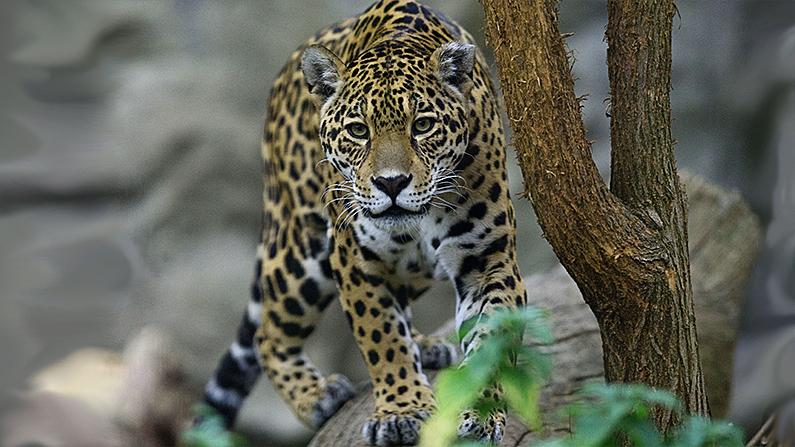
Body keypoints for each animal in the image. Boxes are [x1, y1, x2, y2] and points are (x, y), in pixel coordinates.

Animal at [200, 1, 526, 445]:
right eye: (358, 130)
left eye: (422, 125)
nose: (391, 183)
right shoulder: (355, 259)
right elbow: (381, 337)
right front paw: (403, 411)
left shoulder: (488, 261)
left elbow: (491, 343)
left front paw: (480, 412)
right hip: (301, 251)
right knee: (268, 332)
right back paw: (317, 395)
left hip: (414, 268)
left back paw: (423, 345)